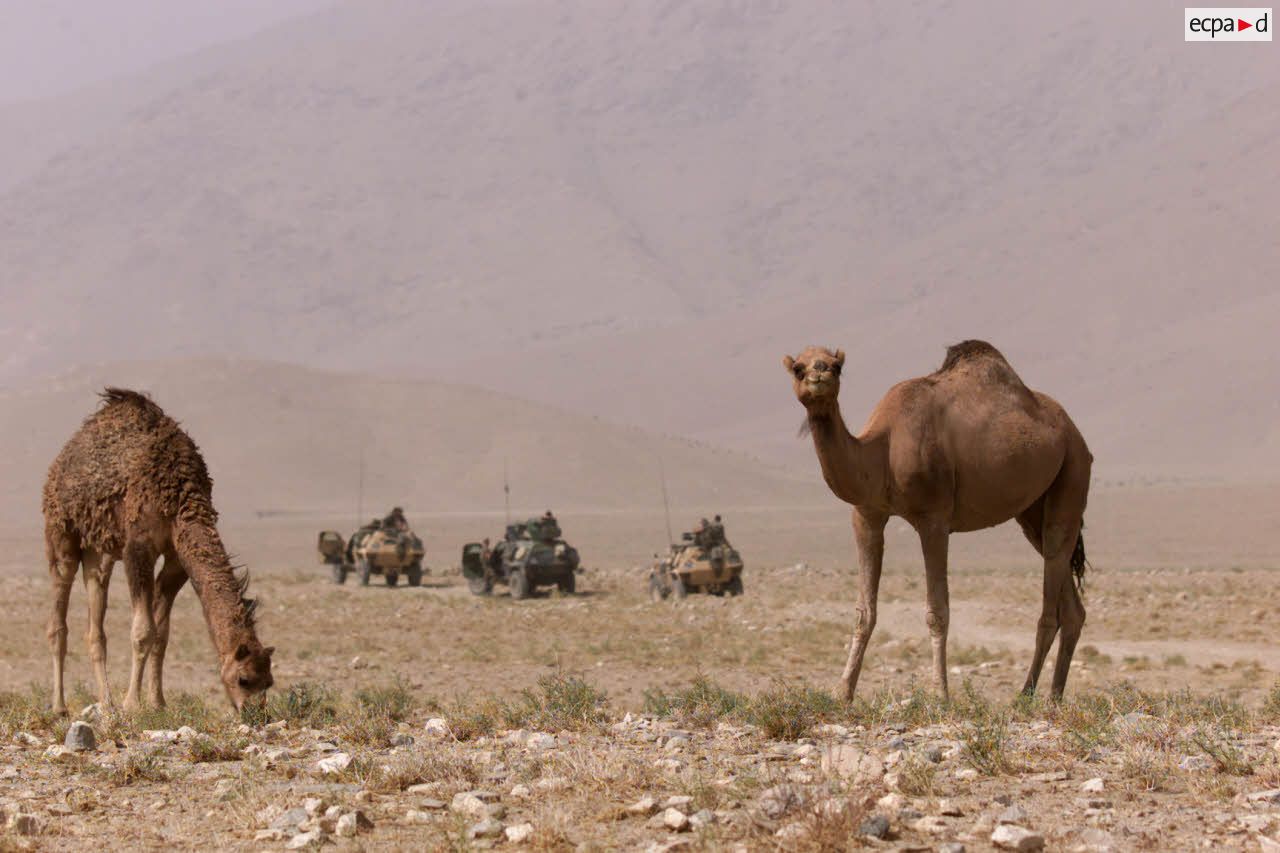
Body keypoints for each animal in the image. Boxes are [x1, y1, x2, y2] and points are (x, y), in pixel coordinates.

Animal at [44, 389, 272, 706]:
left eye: (270, 682)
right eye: (244, 679)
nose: (255, 713)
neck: (181, 498)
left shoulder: (177, 558)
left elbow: (161, 634)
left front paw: (157, 703)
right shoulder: (138, 547)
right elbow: (143, 631)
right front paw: (132, 705)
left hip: (98, 549)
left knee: (96, 620)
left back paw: (106, 705)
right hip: (60, 531)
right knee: (58, 618)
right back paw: (60, 707)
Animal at [783, 343, 1095, 701]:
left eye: (836, 366)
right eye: (798, 368)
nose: (819, 373)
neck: (883, 450)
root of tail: (1074, 432)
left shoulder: (934, 518)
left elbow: (937, 611)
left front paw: (940, 696)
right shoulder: (866, 516)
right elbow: (864, 612)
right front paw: (843, 693)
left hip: (1072, 471)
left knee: (1050, 602)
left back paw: (1025, 698)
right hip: (1032, 511)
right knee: (1069, 602)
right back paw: (1054, 698)